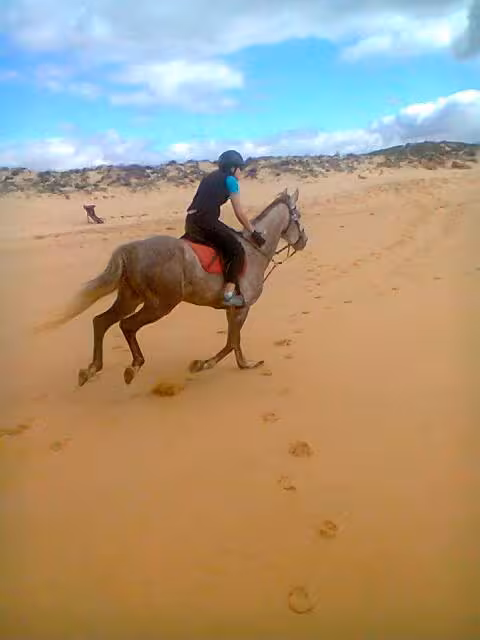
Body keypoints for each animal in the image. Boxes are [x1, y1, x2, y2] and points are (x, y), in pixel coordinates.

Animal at [40, 188, 307, 386]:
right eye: (298, 216)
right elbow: (232, 342)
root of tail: (130, 250)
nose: (304, 241)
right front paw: (205, 365)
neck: (254, 250)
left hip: (130, 297)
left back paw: (91, 369)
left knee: (101, 322)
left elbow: (233, 342)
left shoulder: (233, 310)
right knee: (127, 325)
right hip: (161, 304)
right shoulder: (242, 308)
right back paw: (133, 366)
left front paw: (241, 365)